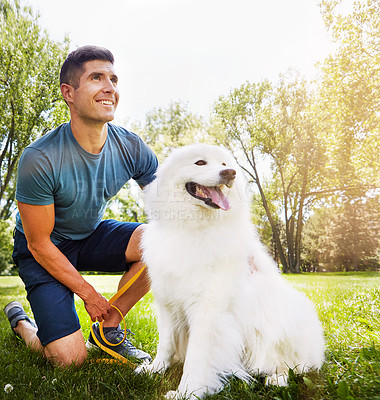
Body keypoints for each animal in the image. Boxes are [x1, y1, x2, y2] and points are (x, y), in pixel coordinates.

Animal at [138, 145, 326, 400]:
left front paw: (188, 392)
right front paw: (154, 369)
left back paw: (275, 379)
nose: (230, 173)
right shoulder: (168, 305)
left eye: (225, 163)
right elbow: (165, 344)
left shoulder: (206, 310)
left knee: (292, 366)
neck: (192, 227)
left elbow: (197, 357)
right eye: (200, 162)